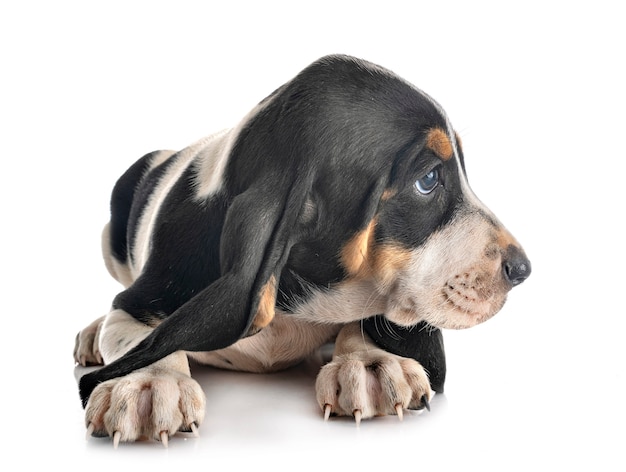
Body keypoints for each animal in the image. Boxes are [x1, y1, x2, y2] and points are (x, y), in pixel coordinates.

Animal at [75, 55, 528, 446]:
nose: (523, 269)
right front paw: (149, 383)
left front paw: (370, 363)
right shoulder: (141, 299)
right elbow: (135, 334)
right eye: (429, 179)